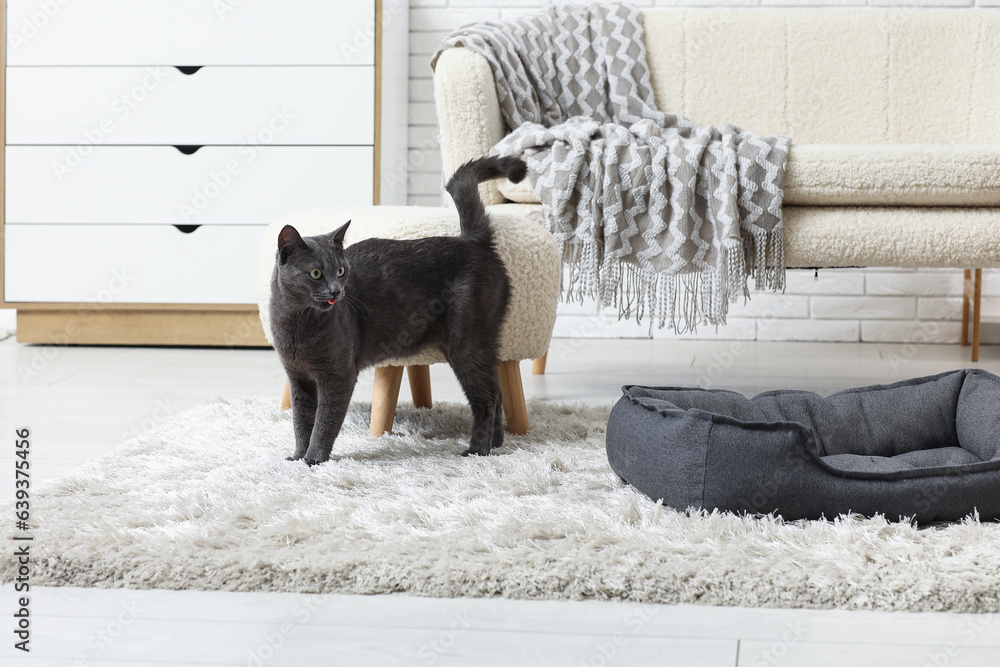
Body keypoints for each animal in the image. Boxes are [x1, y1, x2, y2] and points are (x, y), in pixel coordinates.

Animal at [270, 157, 528, 468]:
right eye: (316, 274)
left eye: (341, 271)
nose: (336, 291)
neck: (297, 324)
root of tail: (472, 239)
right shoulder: (298, 379)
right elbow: (301, 421)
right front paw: (297, 456)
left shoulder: (338, 376)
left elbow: (324, 422)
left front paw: (313, 460)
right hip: (482, 342)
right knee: (498, 390)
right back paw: (497, 442)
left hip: (467, 343)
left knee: (487, 397)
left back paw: (478, 449)